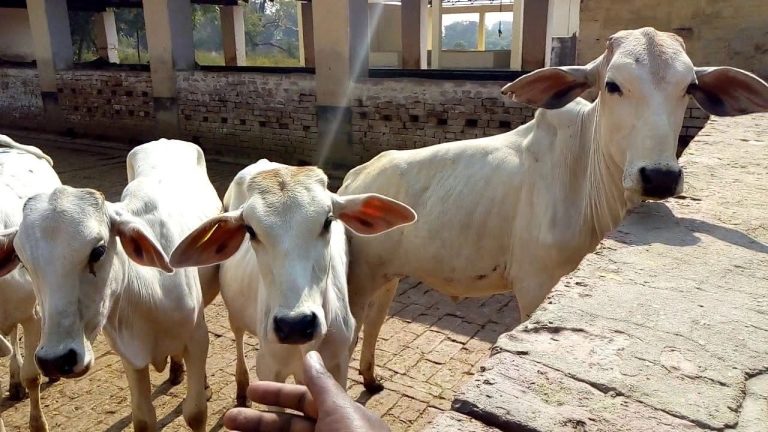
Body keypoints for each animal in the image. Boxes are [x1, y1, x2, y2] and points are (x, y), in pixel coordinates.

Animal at [0, 139, 222, 431]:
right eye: (23, 262)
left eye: (98, 251)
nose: (56, 360)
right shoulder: (129, 356)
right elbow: (143, 419)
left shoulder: (197, 340)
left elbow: (195, 412)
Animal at [169, 161, 416, 406]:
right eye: (250, 230)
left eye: (328, 221)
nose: (295, 325)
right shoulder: (269, 368)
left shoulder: (338, 367)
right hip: (235, 314)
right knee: (238, 337)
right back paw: (240, 388)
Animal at [337, 27, 768, 393]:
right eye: (612, 85)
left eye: (689, 86)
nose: (660, 177)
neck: (585, 185)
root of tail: (355, 178)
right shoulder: (534, 286)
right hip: (358, 280)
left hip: (388, 275)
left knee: (374, 323)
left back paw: (371, 378)